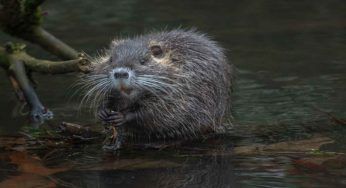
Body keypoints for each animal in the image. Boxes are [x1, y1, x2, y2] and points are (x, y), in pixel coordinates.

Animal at [79, 29, 234, 149]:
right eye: (111, 59)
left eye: (143, 61)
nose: (120, 73)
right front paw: (103, 111)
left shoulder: (182, 92)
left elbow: (157, 113)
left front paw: (121, 116)